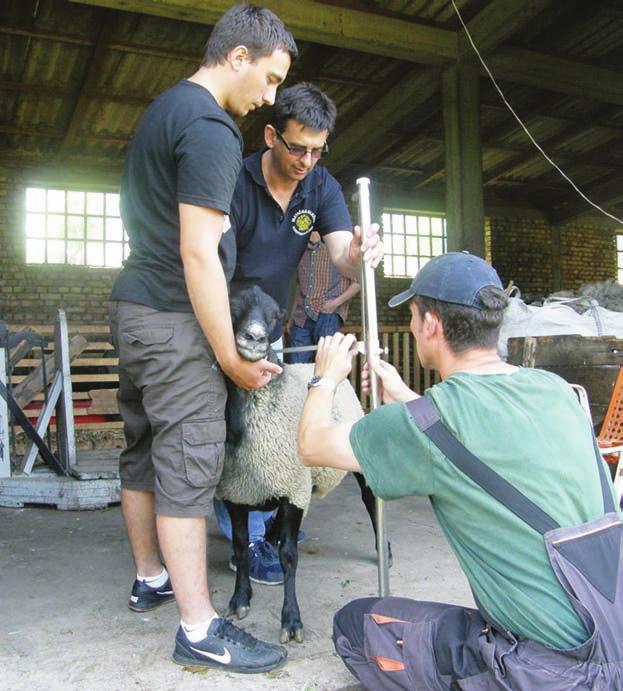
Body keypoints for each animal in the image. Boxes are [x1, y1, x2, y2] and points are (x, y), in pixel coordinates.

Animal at [217, 286, 388, 644]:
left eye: (275, 315)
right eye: (231, 306)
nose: (254, 338)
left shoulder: (292, 491)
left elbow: (289, 558)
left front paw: (292, 621)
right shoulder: (235, 493)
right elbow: (240, 546)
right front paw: (240, 599)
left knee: (369, 499)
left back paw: (384, 550)